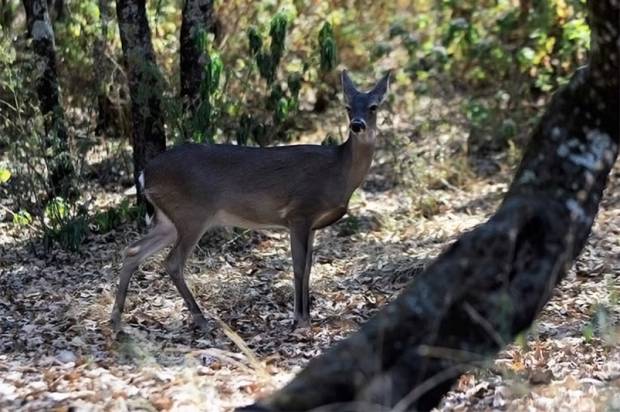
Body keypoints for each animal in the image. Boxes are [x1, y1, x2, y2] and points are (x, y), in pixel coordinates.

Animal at [111, 70, 390, 332]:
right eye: (348, 107)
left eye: (373, 107)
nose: (357, 125)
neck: (338, 171)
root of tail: (145, 173)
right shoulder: (299, 212)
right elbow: (299, 266)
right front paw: (300, 319)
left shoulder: (311, 225)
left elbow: (309, 267)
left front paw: (306, 316)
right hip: (192, 214)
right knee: (172, 262)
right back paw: (201, 319)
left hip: (168, 219)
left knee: (133, 250)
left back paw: (116, 318)